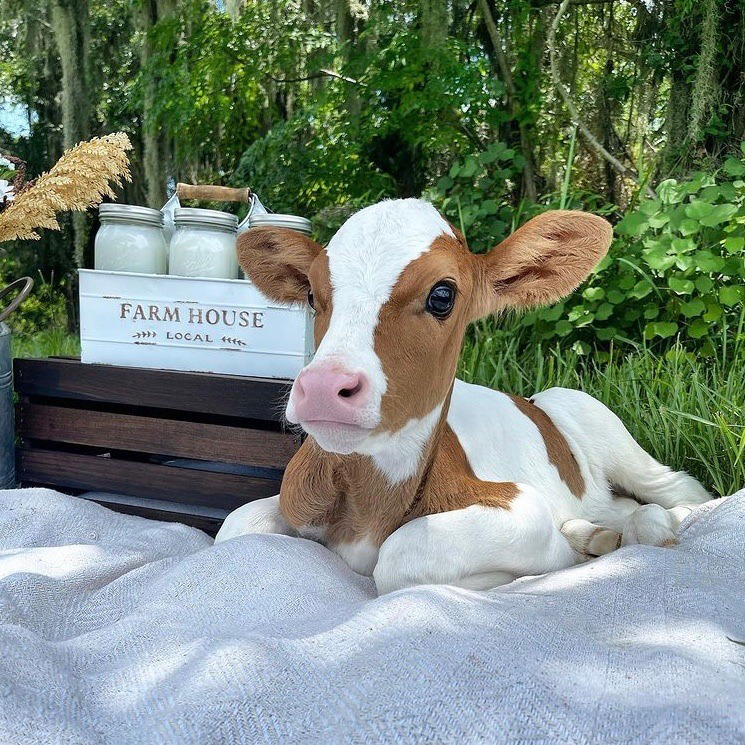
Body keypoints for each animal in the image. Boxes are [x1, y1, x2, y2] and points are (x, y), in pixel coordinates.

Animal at [215, 199, 711, 594]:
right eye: (312, 296)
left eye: (442, 295)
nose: (321, 388)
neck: (369, 510)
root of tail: (536, 399)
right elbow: (235, 526)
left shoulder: (522, 507)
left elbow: (400, 557)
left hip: (602, 423)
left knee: (682, 492)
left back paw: (647, 526)